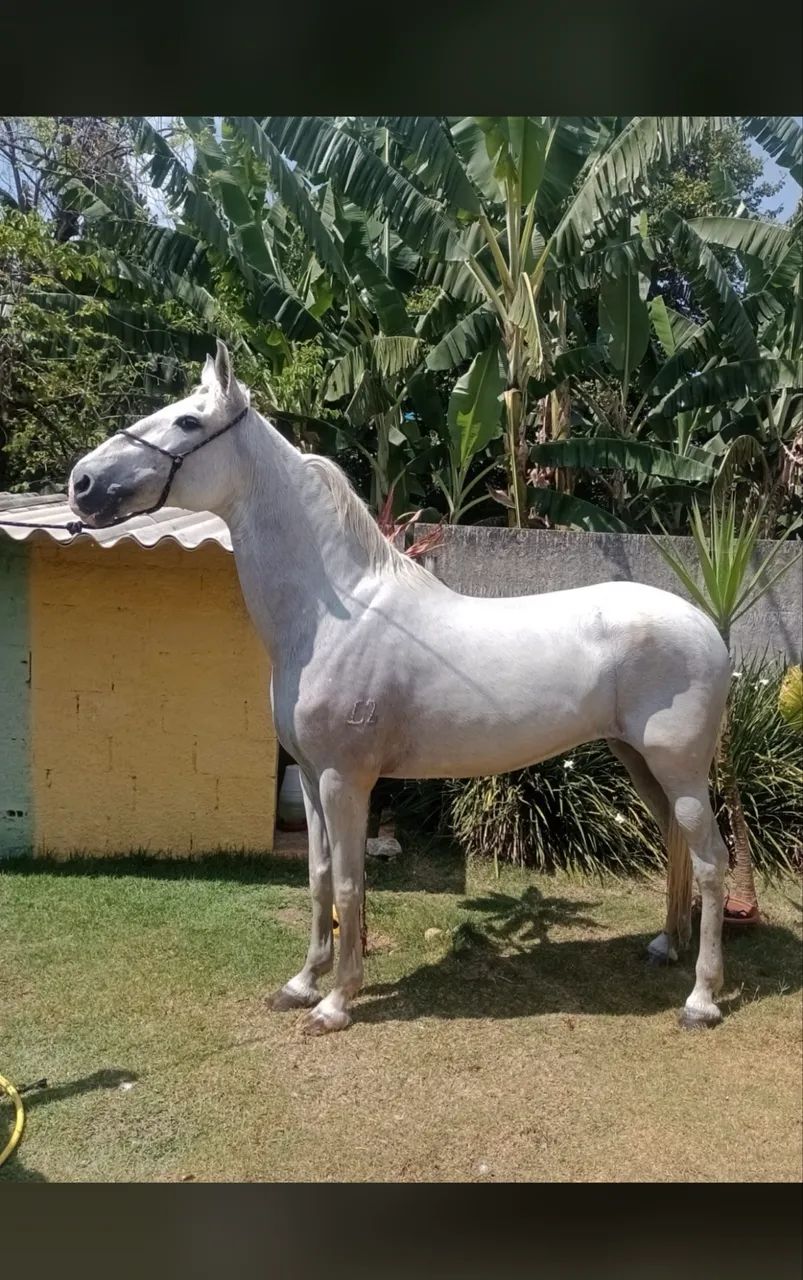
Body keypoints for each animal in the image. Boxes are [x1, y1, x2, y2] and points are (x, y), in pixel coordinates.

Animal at [68, 340, 732, 1035]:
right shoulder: (312, 778)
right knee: (679, 849)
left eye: (188, 422)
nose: (83, 483)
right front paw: (302, 982)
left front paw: (336, 1002)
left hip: (680, 769)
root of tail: (707, 628)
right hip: (641, 763)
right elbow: (318, 876)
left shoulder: (346, 779)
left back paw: (701, 997)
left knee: (713, 863)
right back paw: (665, 946)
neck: (334, 613)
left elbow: (349, 884)